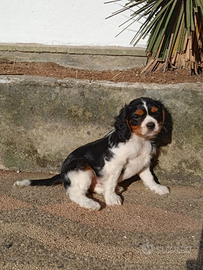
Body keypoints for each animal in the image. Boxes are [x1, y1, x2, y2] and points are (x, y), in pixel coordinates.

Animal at [13, 97, 170, 211]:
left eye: (156, 113)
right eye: (137, 117)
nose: (151, 125)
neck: (139, 140)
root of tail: (63, 172)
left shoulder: (143, 162)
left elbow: (149, 178)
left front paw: (157, 188)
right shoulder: (115, 164)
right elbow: (111, 182)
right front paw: (111, 198)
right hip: (82, 168)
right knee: (74, 193)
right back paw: (91, 203)